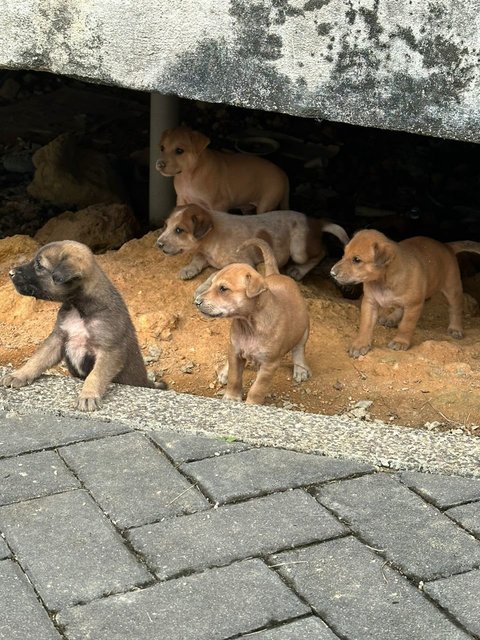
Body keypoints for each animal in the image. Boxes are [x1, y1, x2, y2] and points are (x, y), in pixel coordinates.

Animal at [0, 239, 165, 410]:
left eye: (39, 265)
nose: (10, 273)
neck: (79, 309)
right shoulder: (58, 338)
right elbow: (37, 358)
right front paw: (19, 374)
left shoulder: (110, 350)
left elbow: (95, 375)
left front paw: (88, 395)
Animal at [156, 126, 288, 214]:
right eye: (162, 148)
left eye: (179, 151)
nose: (159, 164)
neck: (190, 175)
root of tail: (283, 173)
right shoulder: (182, 199)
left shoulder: (219, 205)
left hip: (266, 203)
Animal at [158, 204, 348, 282]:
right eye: (166, 225)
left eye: (179, 230)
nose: (158, 244)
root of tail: (315, 222)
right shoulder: (205, 254)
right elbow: (197, 258)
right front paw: (188, 270)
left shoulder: (244, 262)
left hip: (299, 251)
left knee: (323, 251)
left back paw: (298, 271)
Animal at [194, 238, 312, 402]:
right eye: (211, 284)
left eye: (223, 288)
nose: (197, 301)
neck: (249, 325)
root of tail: (276, 274)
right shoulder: (236, 352)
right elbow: (234, 377)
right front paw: (232, 397)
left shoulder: (269, 365)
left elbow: (257, 389)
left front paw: (251, 404)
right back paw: (224, 371)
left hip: (305, 328)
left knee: (299, 348)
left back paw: (300, 369)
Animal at [330, 229, 480, 358]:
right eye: (343, 254)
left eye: (356, 260)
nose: (332, 273)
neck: (383, 281)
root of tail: (446, 246)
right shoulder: (369, 303)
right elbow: (365, 325)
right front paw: (360, 344)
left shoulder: (414, 305)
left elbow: (406, 326)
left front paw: (400, 341)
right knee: (399, 307)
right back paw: (391, 318)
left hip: (452, 288)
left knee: (455, 309)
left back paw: (456, 328)